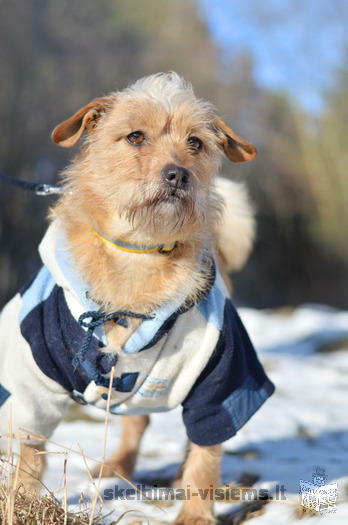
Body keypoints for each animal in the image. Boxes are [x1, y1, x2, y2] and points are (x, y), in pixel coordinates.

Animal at [0, 73, 274, 524]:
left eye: (195, 142)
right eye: (135, 136)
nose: (178, 175)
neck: (139, 250)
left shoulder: (223, 376)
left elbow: (207, 451)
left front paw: (195, 514)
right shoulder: (31, 376)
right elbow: (30, 447)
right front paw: (22, 502)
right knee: (133, 423)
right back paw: (117, 468)